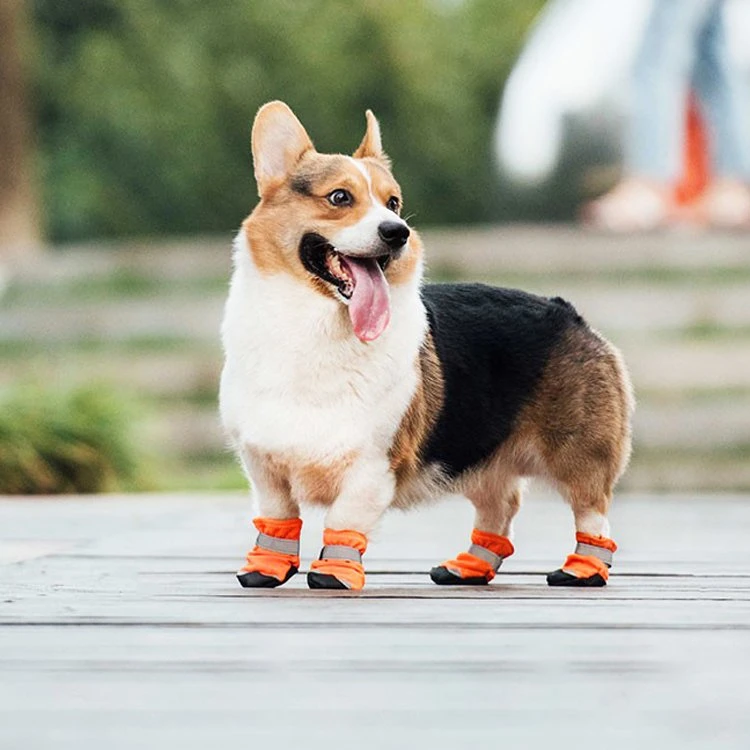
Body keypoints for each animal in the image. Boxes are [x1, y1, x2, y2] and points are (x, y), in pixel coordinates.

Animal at [219, 101, 636, 592]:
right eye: (339, 198)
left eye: (393, 203)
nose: (397, 232)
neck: (314, 325)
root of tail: (569, 312)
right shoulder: (264, 467)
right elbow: (277, 520)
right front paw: (266, 569)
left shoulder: (372, 467)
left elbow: (343, 521)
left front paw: (334, 573)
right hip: (483, 459)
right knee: (499, 511)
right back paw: (467, 567)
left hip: (579, 455)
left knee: (593, 513)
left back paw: (582, 570)